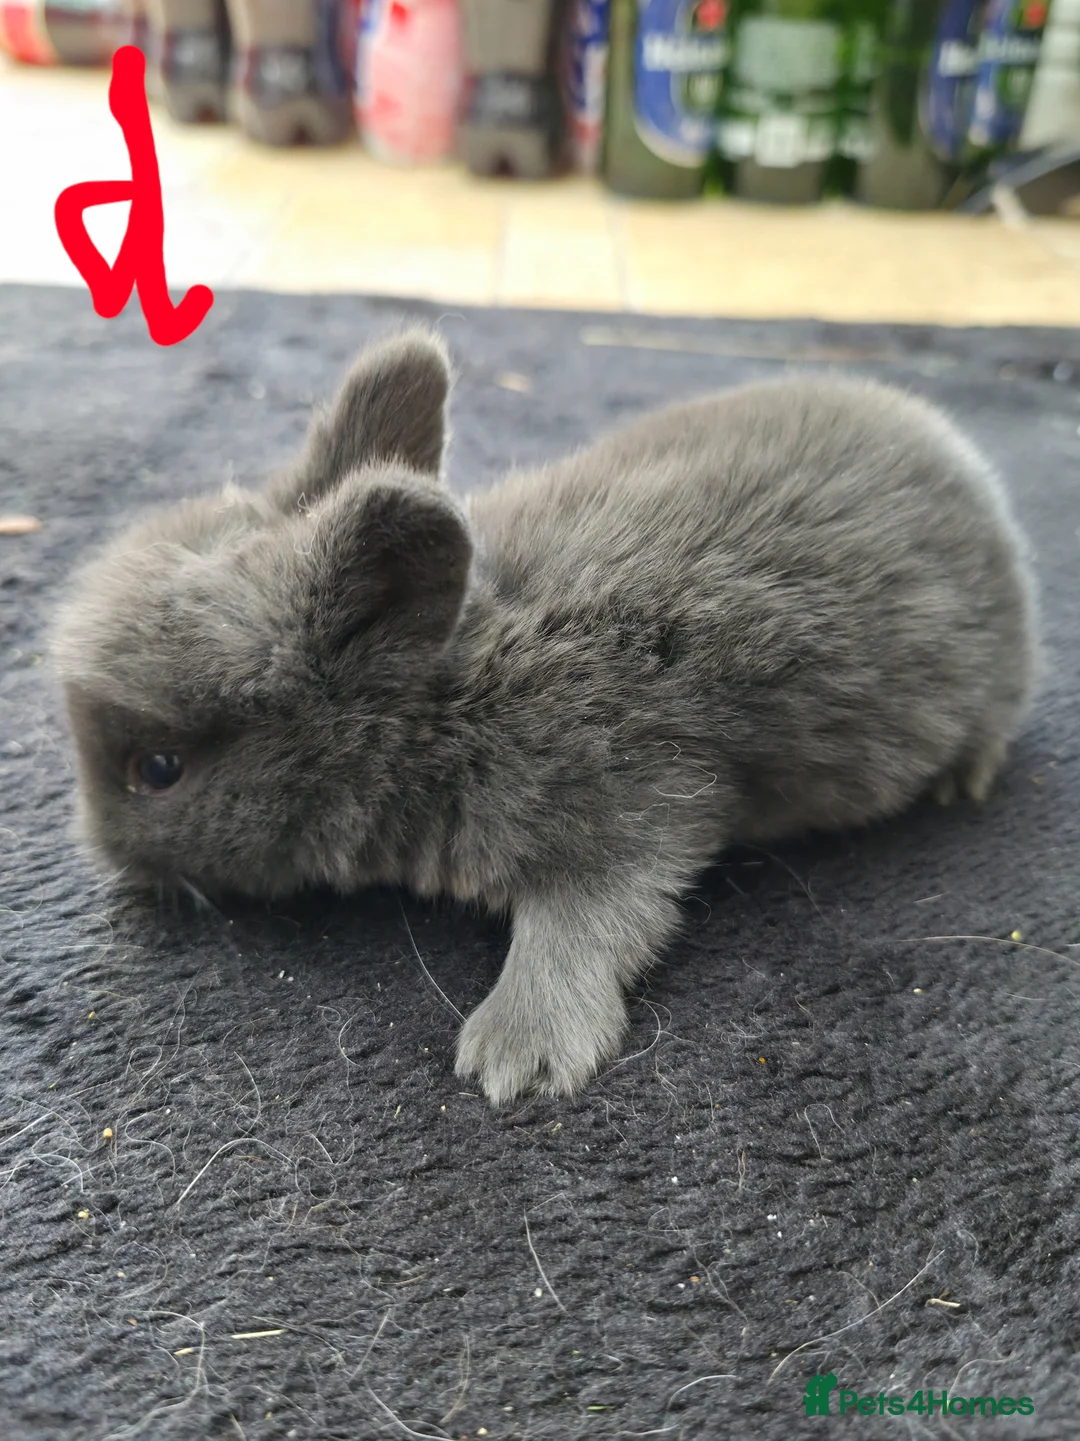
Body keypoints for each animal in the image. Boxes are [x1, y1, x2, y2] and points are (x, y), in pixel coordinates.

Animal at [52, 329, 1039, 1106]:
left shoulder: (632, 809)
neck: (453, 690)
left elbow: (580, 929)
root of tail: (960, 460)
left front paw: (517, 1053)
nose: (100, 852)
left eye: (157, 771)